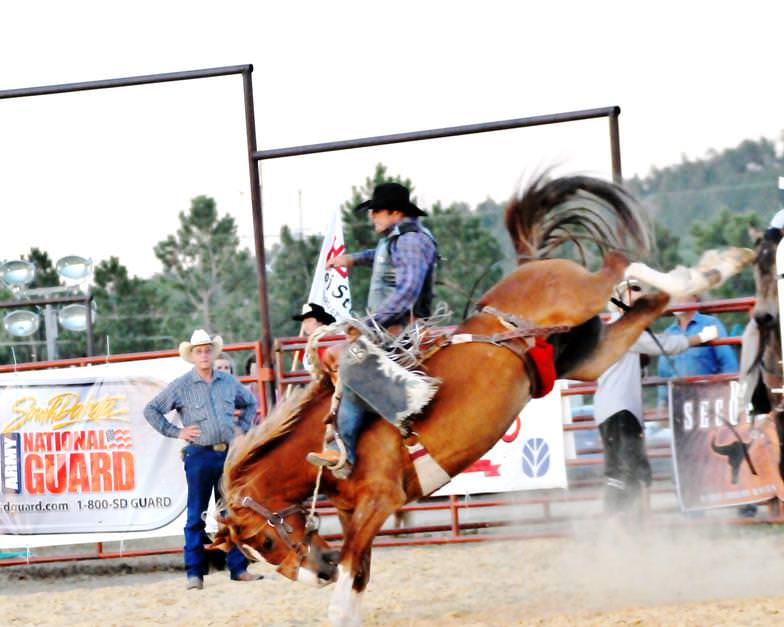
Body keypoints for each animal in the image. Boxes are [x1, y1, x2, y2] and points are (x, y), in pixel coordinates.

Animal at [211, 175, 752, 627]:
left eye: (262, 540)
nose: (315, 572)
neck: (330, 436)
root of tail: (533, 265)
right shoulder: (354, 514)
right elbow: (359, 573)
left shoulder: (378, 504)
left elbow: (349, 579)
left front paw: (336, 594)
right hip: (588, 353)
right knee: (645, 305)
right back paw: (710, 271)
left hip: (581, 296)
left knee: (621, 264)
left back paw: (724, 261)